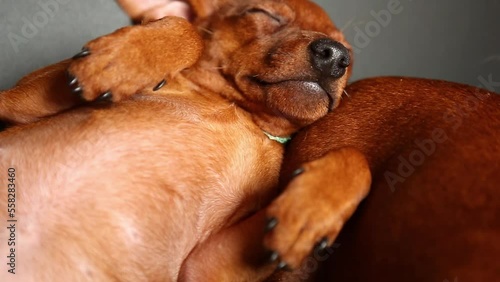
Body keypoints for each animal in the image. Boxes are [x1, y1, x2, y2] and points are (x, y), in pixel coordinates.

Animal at [0, 0, 368, 282]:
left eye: (349, 52)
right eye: (263, 13)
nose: (335, 55)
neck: (236, 110)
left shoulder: (202, 267)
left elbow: (358, 157)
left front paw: (310, 211)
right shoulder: (14, 107)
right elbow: (189, 30)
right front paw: (121, 59)